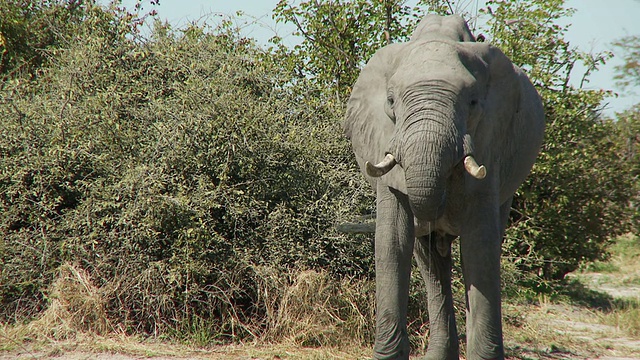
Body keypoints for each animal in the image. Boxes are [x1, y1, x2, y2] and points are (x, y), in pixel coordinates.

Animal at [344, 14, 544, 360]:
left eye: (473, 102)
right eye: (391, 101)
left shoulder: (491, 140)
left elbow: (479, 249)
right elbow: (392, 243)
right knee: (430, 262)